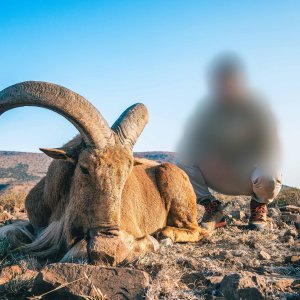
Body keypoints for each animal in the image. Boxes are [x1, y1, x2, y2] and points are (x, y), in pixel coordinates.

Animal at [0, 81, 206, 264]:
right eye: (84, 168)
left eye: (127, 174)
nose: (109, 243)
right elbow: (10, 233)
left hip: (172, 179)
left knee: (197, 230)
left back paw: (165, 235)